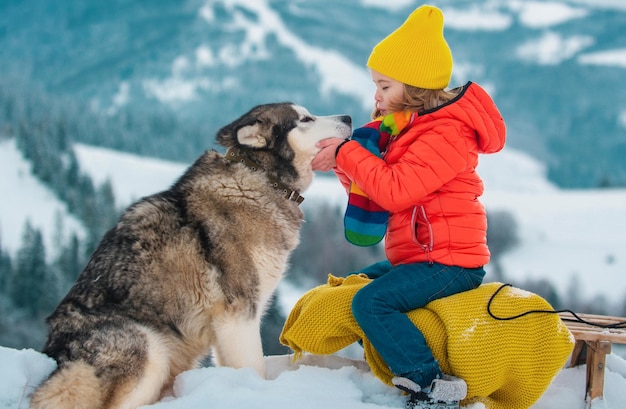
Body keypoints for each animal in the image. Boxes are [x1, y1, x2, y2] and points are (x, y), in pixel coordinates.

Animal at [29, 103, 352, 408]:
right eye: (305, 119)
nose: (349, 117)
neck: (259, 175)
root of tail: (55, 355)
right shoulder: (238, 313)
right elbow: (254, 367)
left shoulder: (230, 324)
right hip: (149, 346)